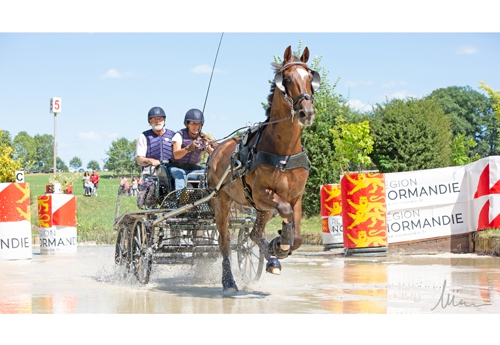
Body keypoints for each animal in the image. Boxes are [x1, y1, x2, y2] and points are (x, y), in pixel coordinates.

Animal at [206, 44, 320, 288]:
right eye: (287, 78)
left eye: (310, 77)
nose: (306, 112)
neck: (283, 152)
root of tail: (216, 150)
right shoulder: (261, 194)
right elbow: (285, 212)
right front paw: (281, 242)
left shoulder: (295, 196)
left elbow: (298, 236)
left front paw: (280, 245)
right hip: (223, 201)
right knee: (224, 242)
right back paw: (229, 280)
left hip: (262, 209)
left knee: (254, 234)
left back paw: (272, 259)